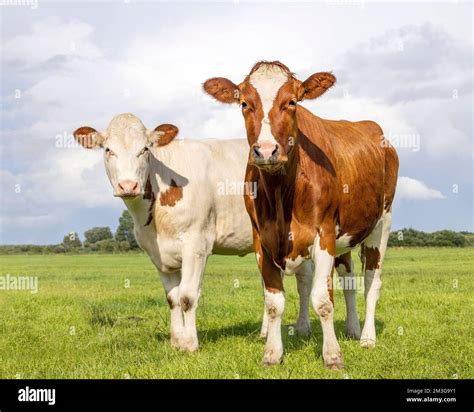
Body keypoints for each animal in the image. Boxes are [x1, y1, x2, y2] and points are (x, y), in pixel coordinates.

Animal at [72, 115, 312, 354]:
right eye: (108, 150)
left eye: (145, 149)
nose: (128, 186)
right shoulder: (158, 253)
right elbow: (173, 298)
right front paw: (176, 340)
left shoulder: (196, 245)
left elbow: (187, 296)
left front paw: (189, 344)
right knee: (269, 284)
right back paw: (265, 333)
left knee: (304, 282)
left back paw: (302, 327)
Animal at [202, 60, 398, 366]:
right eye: (244, 103)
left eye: (292, 102)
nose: (266, 151)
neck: (282, 192)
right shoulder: (262, 239)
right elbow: (274, 300)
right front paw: (272, 353)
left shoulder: (324, 233)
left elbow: (323, 300)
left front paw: (332, 356)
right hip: (345, 238)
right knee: (348, 280)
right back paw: (352, 329)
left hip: (382, 223)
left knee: (371, 281)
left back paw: (367, 337)